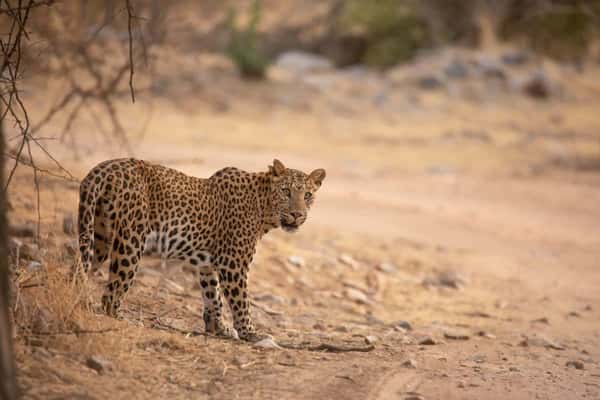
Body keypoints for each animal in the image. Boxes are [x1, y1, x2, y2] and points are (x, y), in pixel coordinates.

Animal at [77, 158, 326, 342]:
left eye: (307, 195)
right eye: (286, 191)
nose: (297, 214)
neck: (263, 208)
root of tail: (104, 168)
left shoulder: (209, 264)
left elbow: (213, 295)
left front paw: (219, 328)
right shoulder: (233, 263)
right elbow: (241, 301)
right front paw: (250, 333)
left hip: (99, 236)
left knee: (79, 269)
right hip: (131, 240)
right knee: (112, 291)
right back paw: (122, 318)